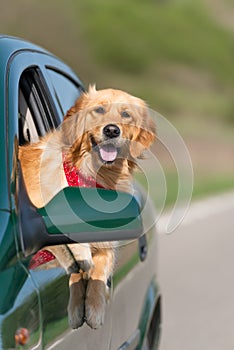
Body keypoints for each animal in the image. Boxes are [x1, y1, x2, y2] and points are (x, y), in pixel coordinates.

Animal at [19, 85, 156, 328]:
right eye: (99, 110)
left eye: (126, 114)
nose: (112, 130)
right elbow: (71, 257)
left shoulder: (107, 244)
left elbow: (100, 270)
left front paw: (94, 308)